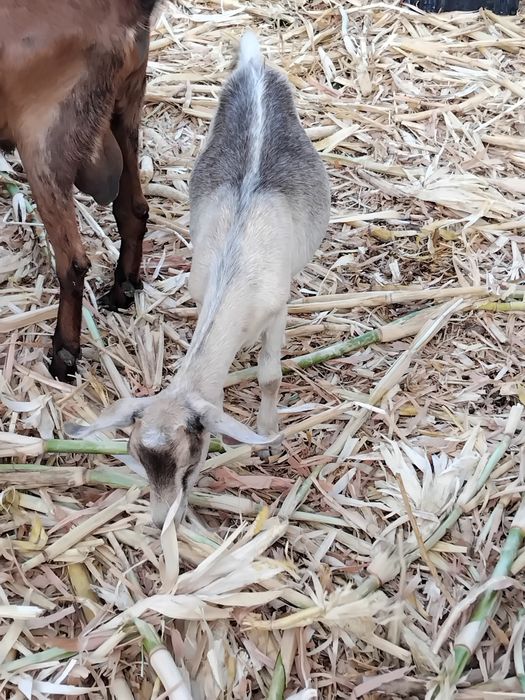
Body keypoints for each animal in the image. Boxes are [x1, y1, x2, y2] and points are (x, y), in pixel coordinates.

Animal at [0, 0, 160, 381]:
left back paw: (64, 356)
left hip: (44, 145)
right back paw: (122, 291)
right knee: (133, 210)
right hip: (126, 109)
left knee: (72, 262)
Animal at [65, 32, 331, 527]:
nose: (160, 522)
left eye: (190, 463)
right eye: (137, 455)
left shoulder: (277, 308)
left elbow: (270, 375)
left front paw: (268, 437)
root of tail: (254, 65)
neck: (234, 270)